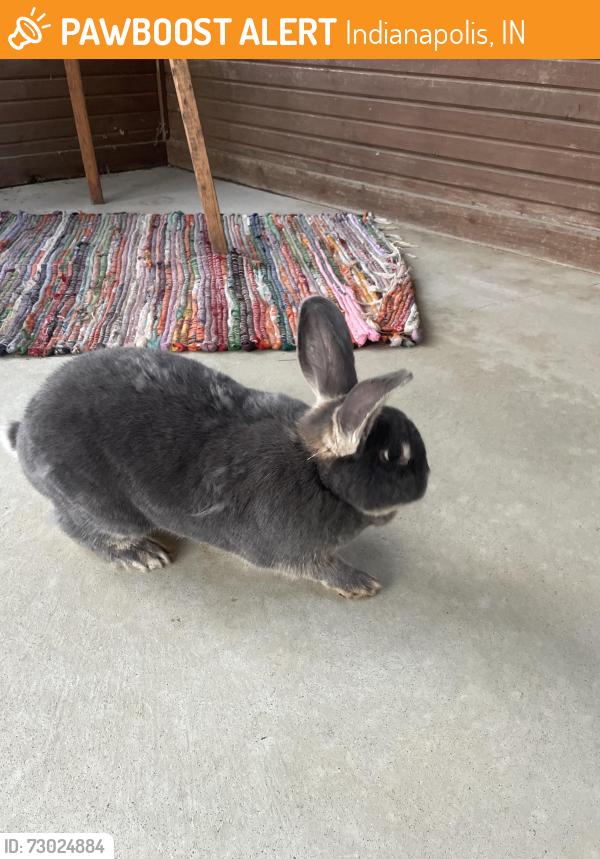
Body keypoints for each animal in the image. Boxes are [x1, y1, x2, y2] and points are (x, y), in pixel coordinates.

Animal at [5, 296, 428, 598]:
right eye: (394, 456)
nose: (425, 482)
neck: (315, 472)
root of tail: (22, 433)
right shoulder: (292, 552)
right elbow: (321, 567)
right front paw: (360, 583)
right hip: (109, 509)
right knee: (75, 527)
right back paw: (142, 555)